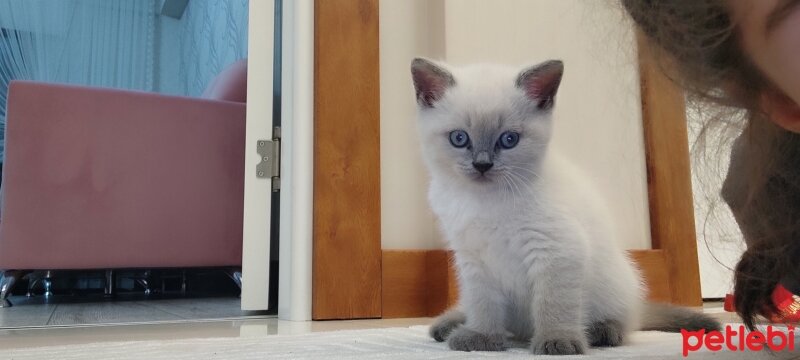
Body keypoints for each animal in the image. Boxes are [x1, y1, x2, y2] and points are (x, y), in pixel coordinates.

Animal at [412, 57, 720, 354]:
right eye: (459, 138)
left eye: (509, 140)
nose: (482, 165)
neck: (484, 201)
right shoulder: (474, 260)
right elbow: (483, 304)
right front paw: (482, 337)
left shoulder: (556, 250)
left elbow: (554, 304)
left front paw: (557, 341)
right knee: (474, 309)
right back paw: (450, 325)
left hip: (616, 284)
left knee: (623, 321)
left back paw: (601, 332)